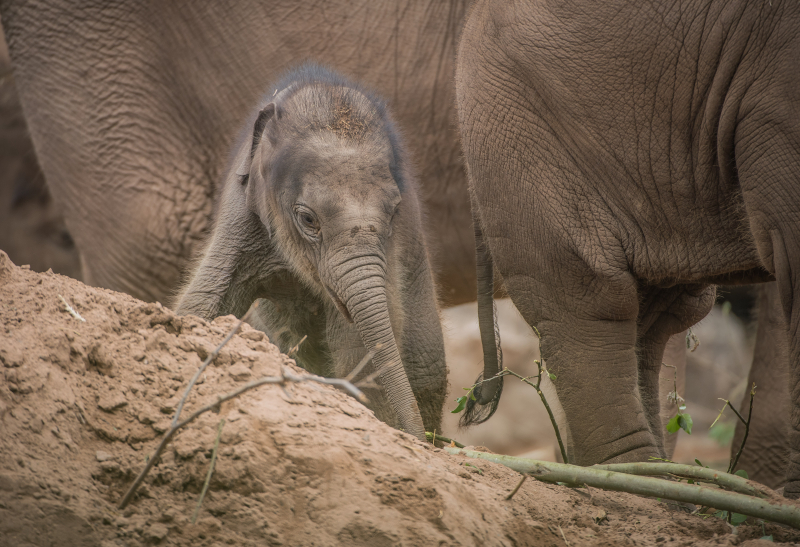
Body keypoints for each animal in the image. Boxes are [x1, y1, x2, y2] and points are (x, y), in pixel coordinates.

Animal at [176, 66, 446, 441]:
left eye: (394, 212)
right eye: (307, 219)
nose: (417, 438)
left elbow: (359, 346)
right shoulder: (242, 213)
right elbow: (202, 304)